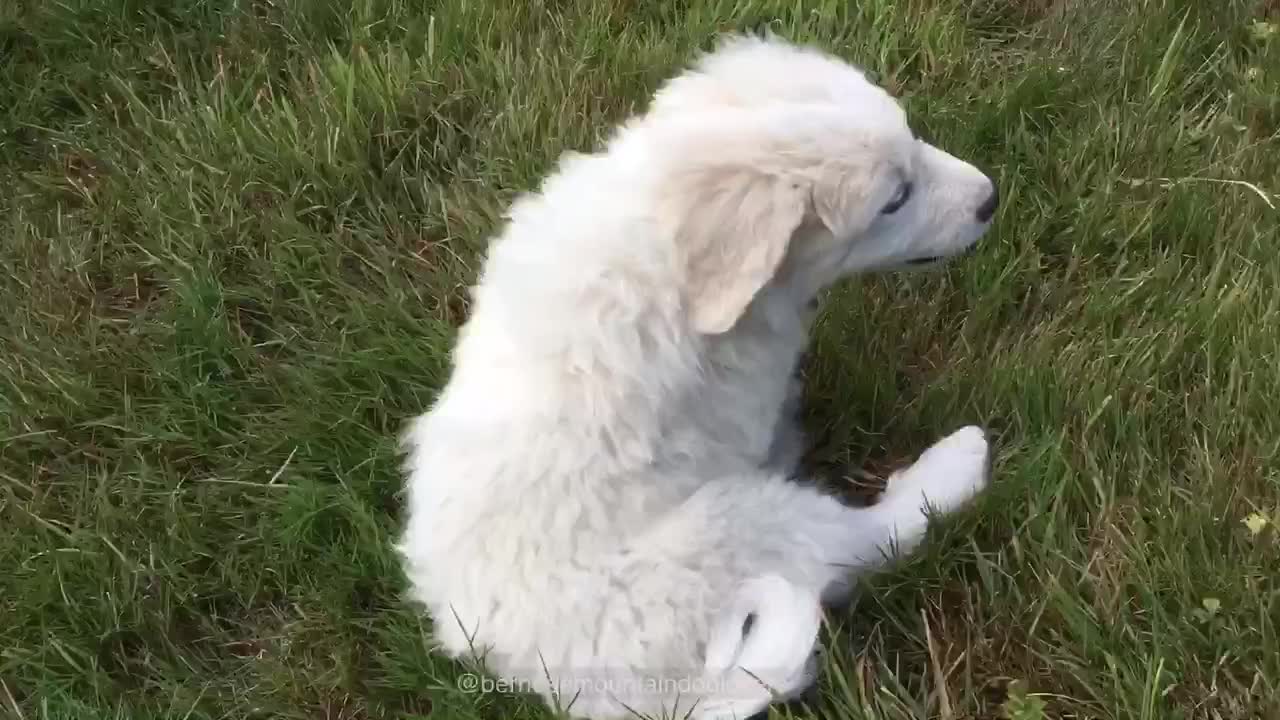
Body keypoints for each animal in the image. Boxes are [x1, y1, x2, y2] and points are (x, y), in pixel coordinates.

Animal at [399, 36, 998, 717]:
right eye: (894, 199)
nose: (990, 198)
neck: (662, 228)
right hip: (735, 524)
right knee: (867, 539)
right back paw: (955, 464)